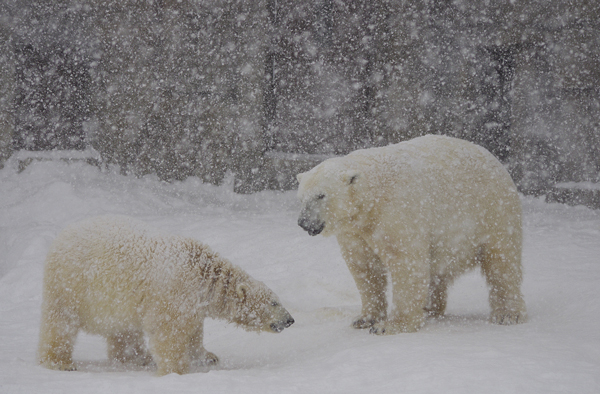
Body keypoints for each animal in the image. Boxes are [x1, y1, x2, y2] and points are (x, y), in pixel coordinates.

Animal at [37, 215, 296, 376]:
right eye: (274, 302)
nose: (290, 320)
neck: (203, 274)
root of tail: (63, 234)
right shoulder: (174, 293)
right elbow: (170, 333)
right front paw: (176, 370)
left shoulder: (193, 303)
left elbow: (194, 333)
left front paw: (208, 356)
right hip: (72, 284)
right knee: (61, 323)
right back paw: (60, 362)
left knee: (124, 330)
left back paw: (137, 357)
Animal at [298, 135, 528, 336]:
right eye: (301, 197)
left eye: (321, 195)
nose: (303, 222)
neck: (373, 196)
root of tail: (497, 162)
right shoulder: (354, 231)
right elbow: (364, 266)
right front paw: (364, 319)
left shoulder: (397, 212)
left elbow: (405, 262)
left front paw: (390, 326)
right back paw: (429, 308)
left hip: (493, 210)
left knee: (502, 261)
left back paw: (508, 314)